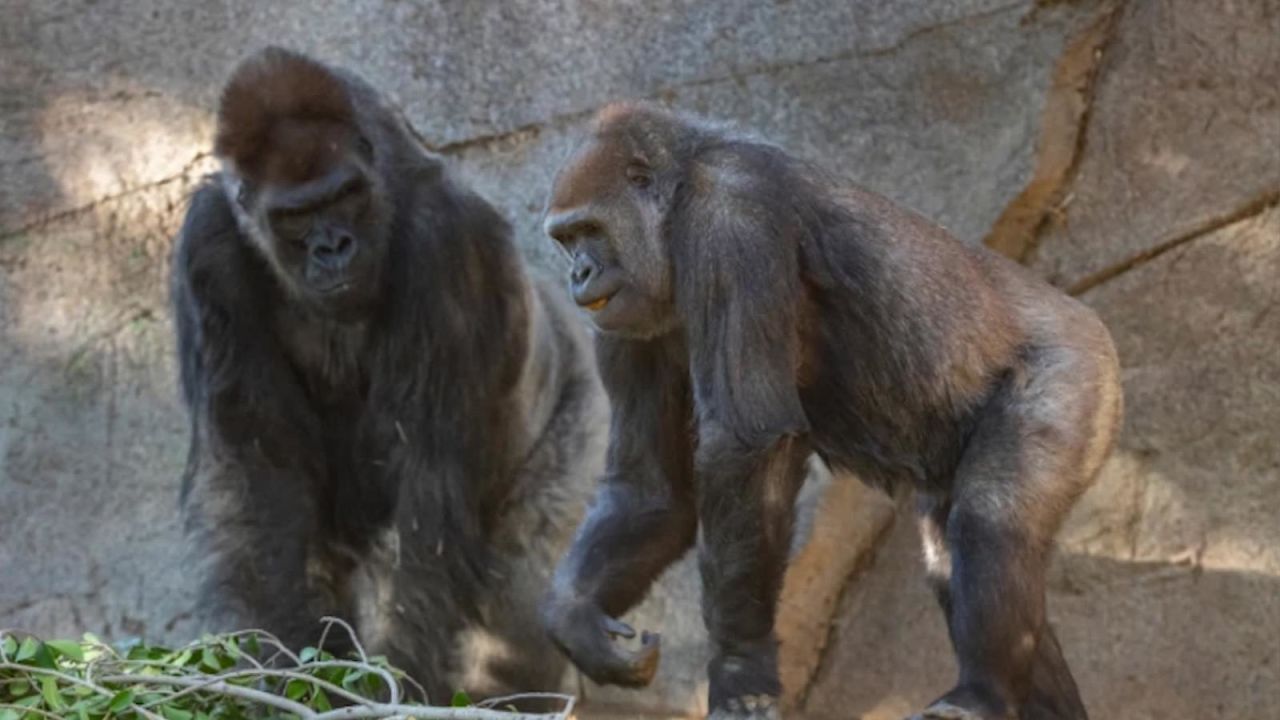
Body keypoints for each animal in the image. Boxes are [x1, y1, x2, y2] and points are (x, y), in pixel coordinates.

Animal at [172, 46, 606, 702]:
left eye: (344, 195)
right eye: (295, 215)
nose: (333, 248)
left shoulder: (446, 241)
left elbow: (426, 494)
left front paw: (393, 683)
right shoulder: (209, 245)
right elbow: (263, 481)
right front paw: (290, 672)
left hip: (582, 413)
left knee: (518, 610)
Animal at [540, 102, 1121, 717]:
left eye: (590, 232)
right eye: (566, 239)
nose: (578, 274)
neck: (676, 197)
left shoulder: (731, 215)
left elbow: (747, 444)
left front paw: (741, 665)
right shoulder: (621, 321)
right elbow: (651, 490)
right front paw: (574, 615)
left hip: (1077, 368)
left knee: (991, 519)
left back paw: (980, 693)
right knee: (952, 553)